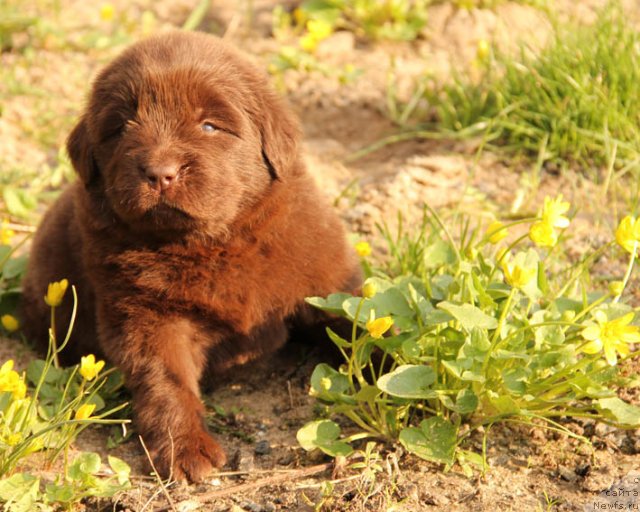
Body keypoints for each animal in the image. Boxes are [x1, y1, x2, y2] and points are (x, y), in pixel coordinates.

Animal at [21, 31, 360, 480]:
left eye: (210, 126)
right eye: (121, 128)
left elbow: (360, 324)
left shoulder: (324, 276)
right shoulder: (146, 316)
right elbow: (166, 380)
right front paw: (184, 450)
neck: (215, 243)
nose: (160, 173)